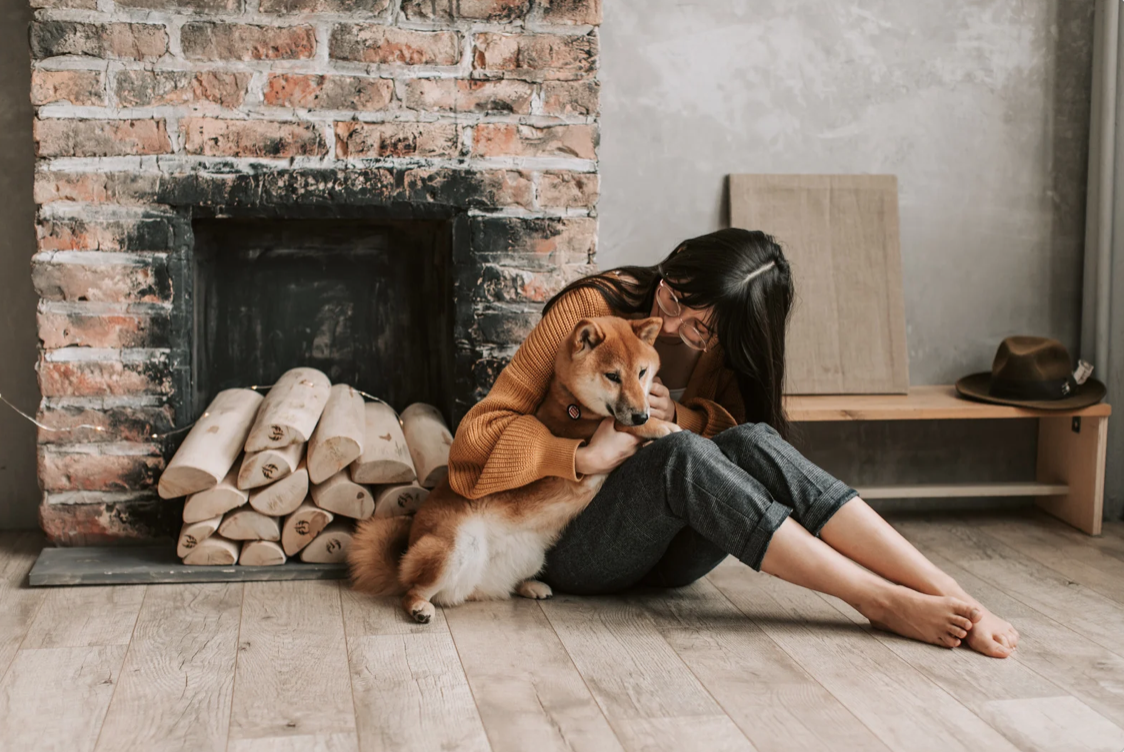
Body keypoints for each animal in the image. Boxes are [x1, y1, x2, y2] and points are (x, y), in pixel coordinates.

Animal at [346, 312, 678, 620]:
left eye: (642, 372)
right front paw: (662, 427)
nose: (641, 415)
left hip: (526, 557)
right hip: (453, 548)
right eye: (613, 376)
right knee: (412, 589)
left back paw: (530, 586)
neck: (573, 405)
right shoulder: (585, 441)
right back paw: (418, 607)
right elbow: (621, 427)